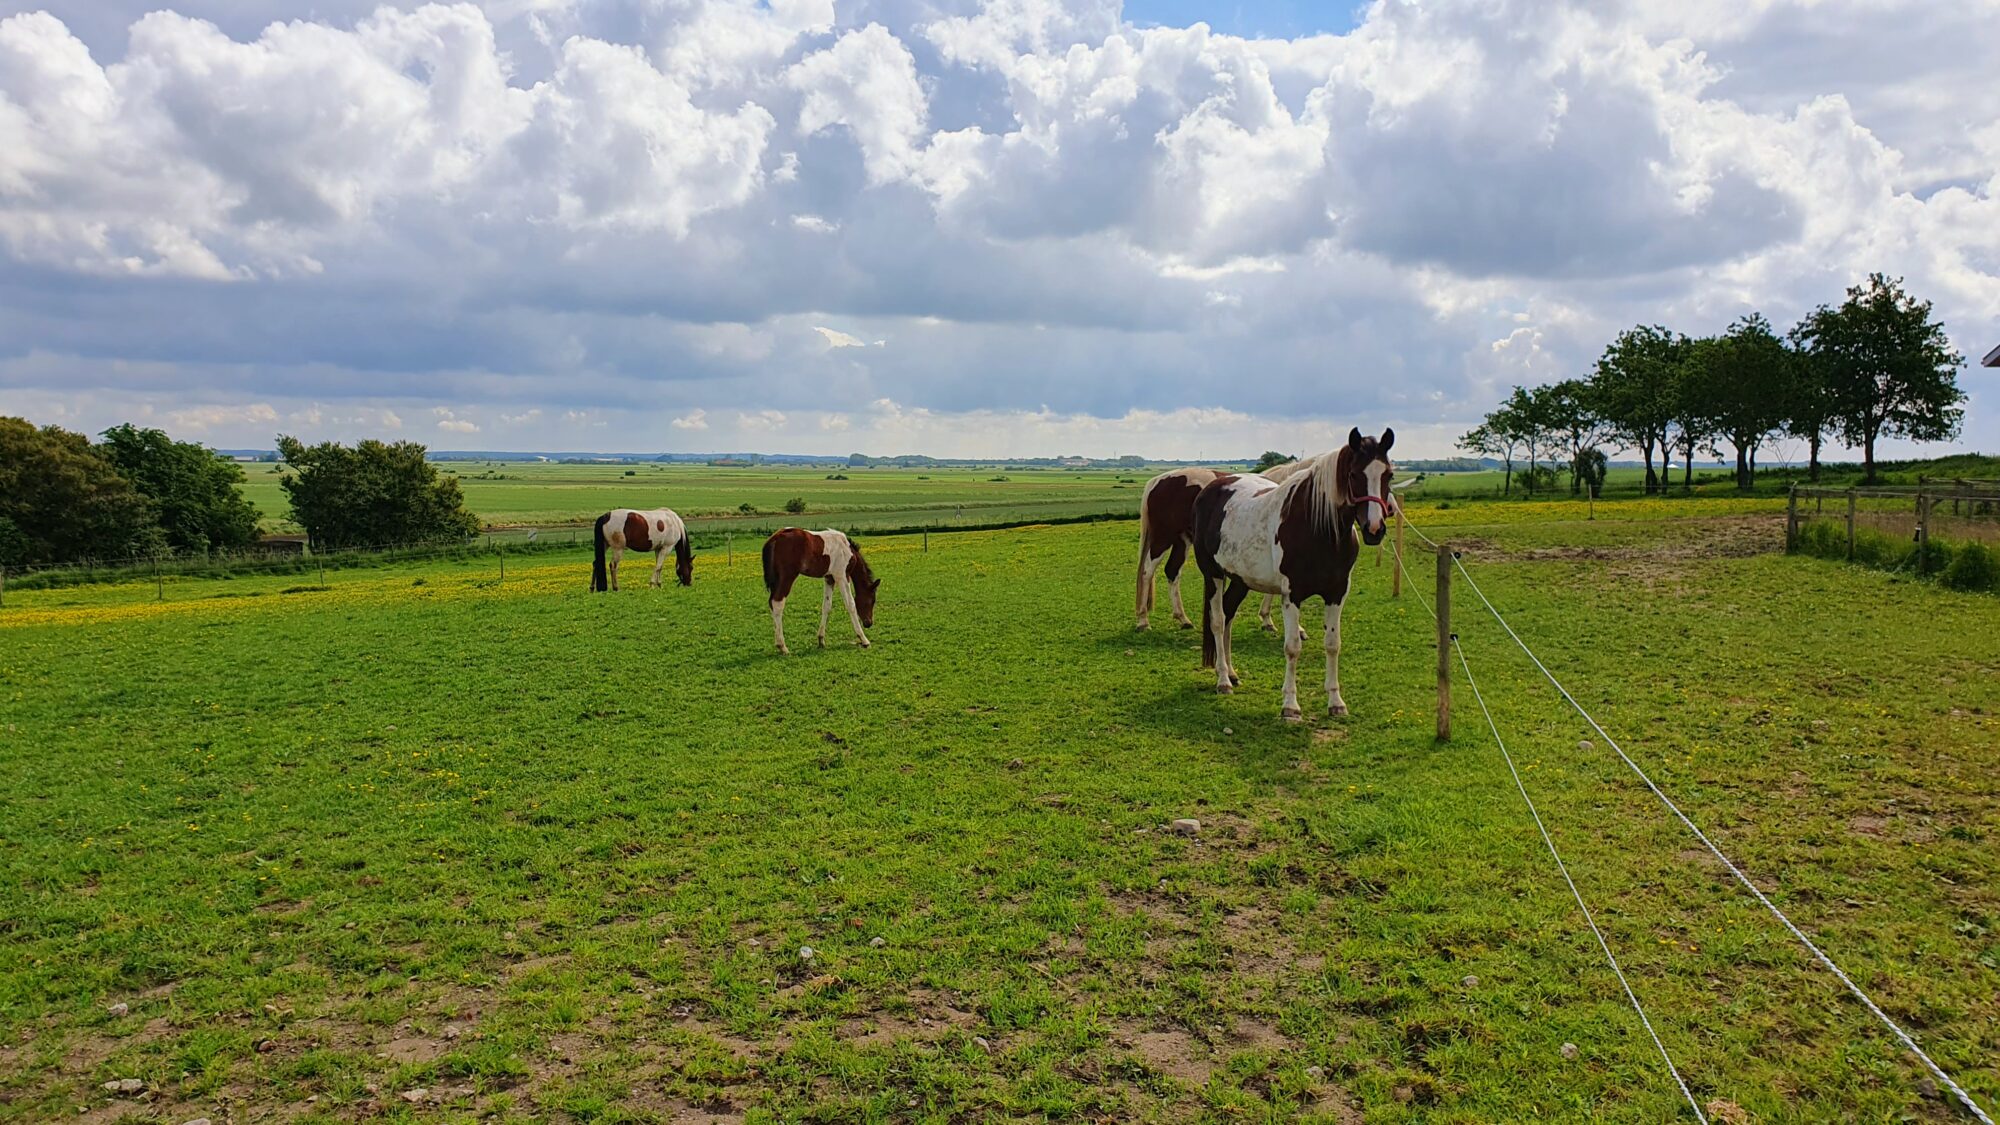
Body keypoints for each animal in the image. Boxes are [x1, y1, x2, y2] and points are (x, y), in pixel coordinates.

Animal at [1192, 424, 1400, 720]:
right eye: (1353, 474)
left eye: (1388, 474)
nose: (1374, 529)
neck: (1317, 528)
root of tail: (1211, 489)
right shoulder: (1291, 595)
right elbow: (1292, 648)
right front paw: (1290, 706)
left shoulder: (1337, 593)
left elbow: (1332, 644)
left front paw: (1336, 702)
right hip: (1214, 575)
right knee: (1218, 621)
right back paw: (1223, 680)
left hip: (1241, 580)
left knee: (1229, 614)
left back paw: (1232, 673)